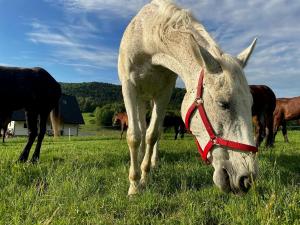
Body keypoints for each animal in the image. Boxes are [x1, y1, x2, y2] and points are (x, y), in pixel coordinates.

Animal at [118, 0, 258, 195]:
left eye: (251, 104)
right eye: (223, 104)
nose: (246, 180)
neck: (147, 39)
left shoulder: (164, 92)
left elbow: (152, 135)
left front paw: (145, 178)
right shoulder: (129, 87)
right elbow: (134, 136)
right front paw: (134, 186)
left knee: (153, 131)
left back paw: (152, 162)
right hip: (140, 98)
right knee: (140, 128)